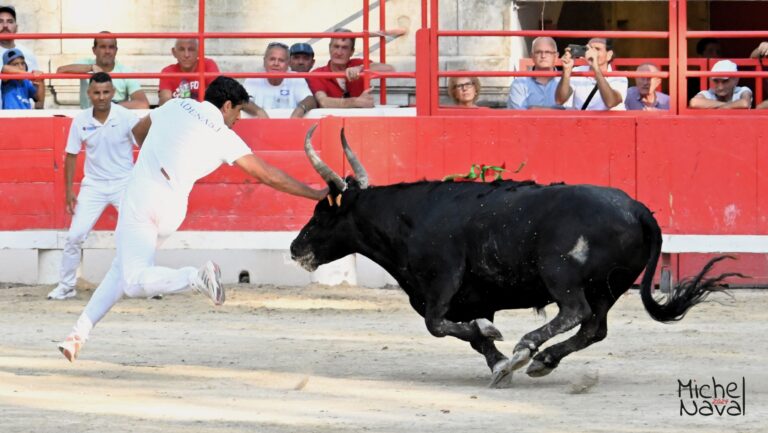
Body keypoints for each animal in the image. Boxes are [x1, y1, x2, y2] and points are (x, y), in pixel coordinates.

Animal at [292, 125, 740, 384]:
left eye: (321, 212)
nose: (296, 247)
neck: (412, 218)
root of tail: (638, 209)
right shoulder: (470, 296)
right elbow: (468, 333)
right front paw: (497, 363)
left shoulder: (442, 281)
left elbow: (438, 324)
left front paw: (500, 346)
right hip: (608, 287)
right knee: (593, 328)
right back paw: (543, 361)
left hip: (561, 273)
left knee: (574, 312)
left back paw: (529, 349)